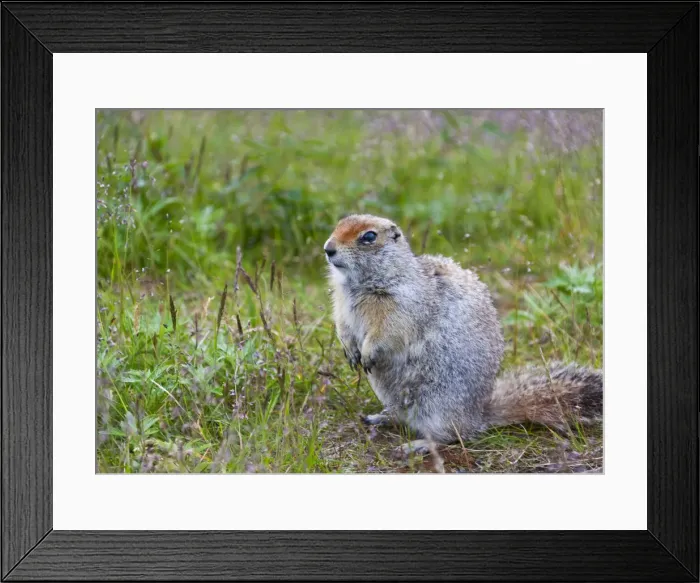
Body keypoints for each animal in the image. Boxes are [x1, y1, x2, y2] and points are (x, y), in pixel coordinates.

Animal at [324, 213, 603, 455]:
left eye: (369, 236)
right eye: (338, 224)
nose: (328, 248)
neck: (358, 285)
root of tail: (479, 415)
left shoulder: (402, 304)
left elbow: (388, 330)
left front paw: (367, 353)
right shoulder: (341, 304)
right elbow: (342, 325)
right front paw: (350, 351)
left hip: (437, 406)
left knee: (453, 436)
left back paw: (417, 445)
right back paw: (379, 417)